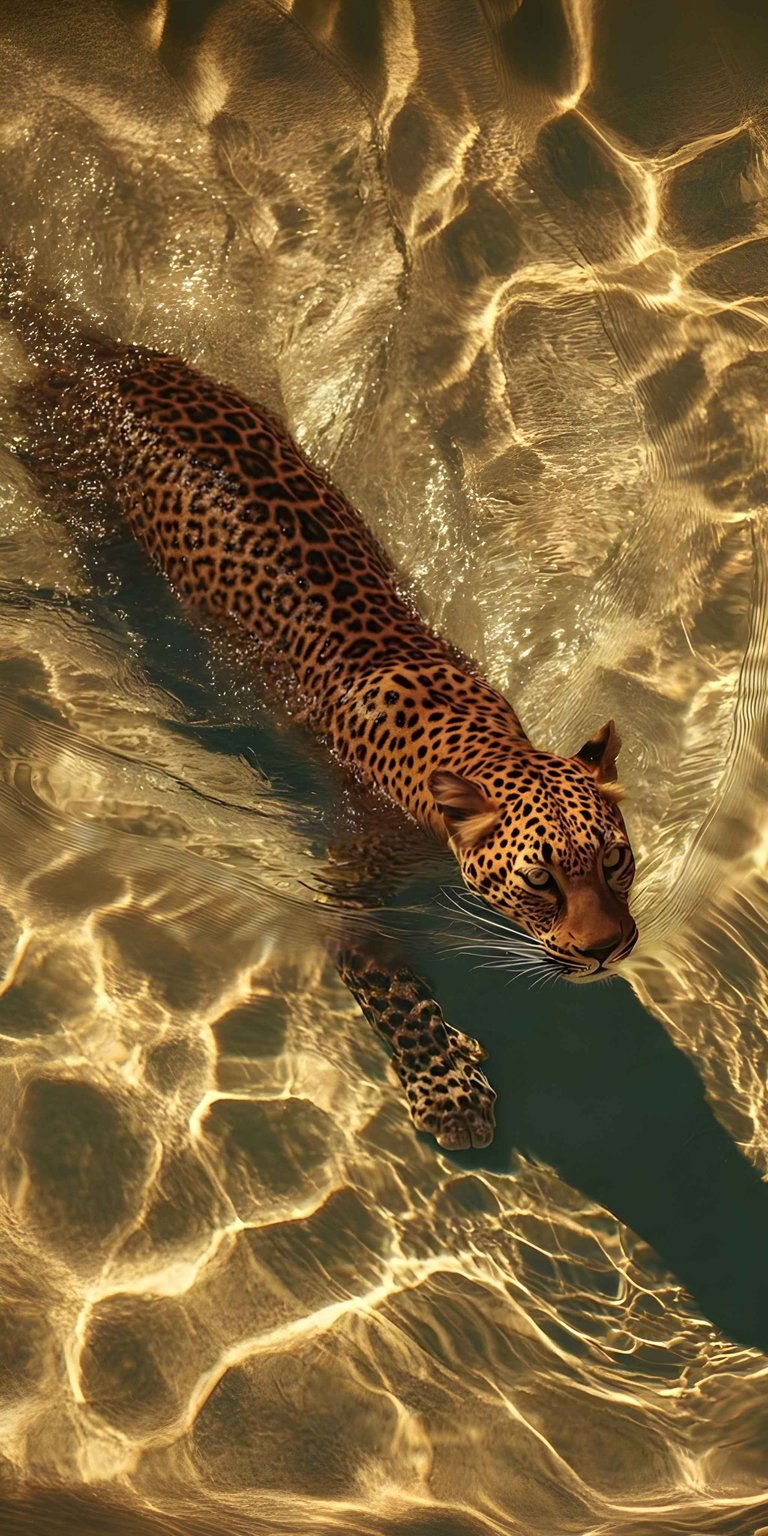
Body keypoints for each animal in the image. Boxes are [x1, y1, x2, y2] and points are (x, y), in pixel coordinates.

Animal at [9, 288, 638, 1153]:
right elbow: (395, 991)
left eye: (616, 860)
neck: (473, 740)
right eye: (541, 880)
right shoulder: (345, 897)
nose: (609, 951)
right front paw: (451, 1092)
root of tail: (102, 358)